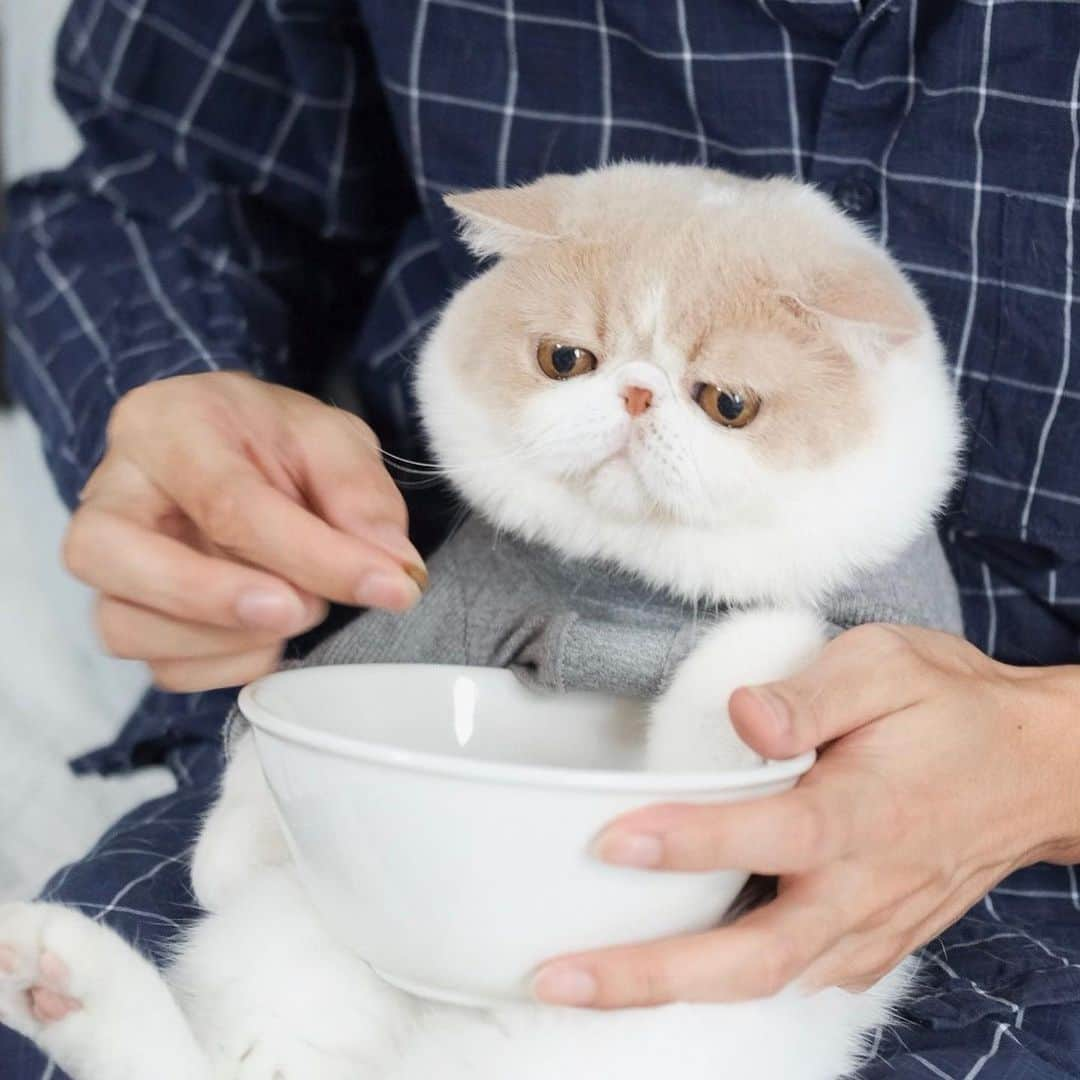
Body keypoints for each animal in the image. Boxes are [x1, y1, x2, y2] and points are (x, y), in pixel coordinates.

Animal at [0, 162, 963, 1080]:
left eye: (729, 404)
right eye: (565, 358)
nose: (637, 394)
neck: (623, 584)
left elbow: (710, 725)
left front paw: (763, 643)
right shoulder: (418, 629)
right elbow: (265, 738)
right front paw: (225, 853)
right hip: (297, 962)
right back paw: (53, 974)